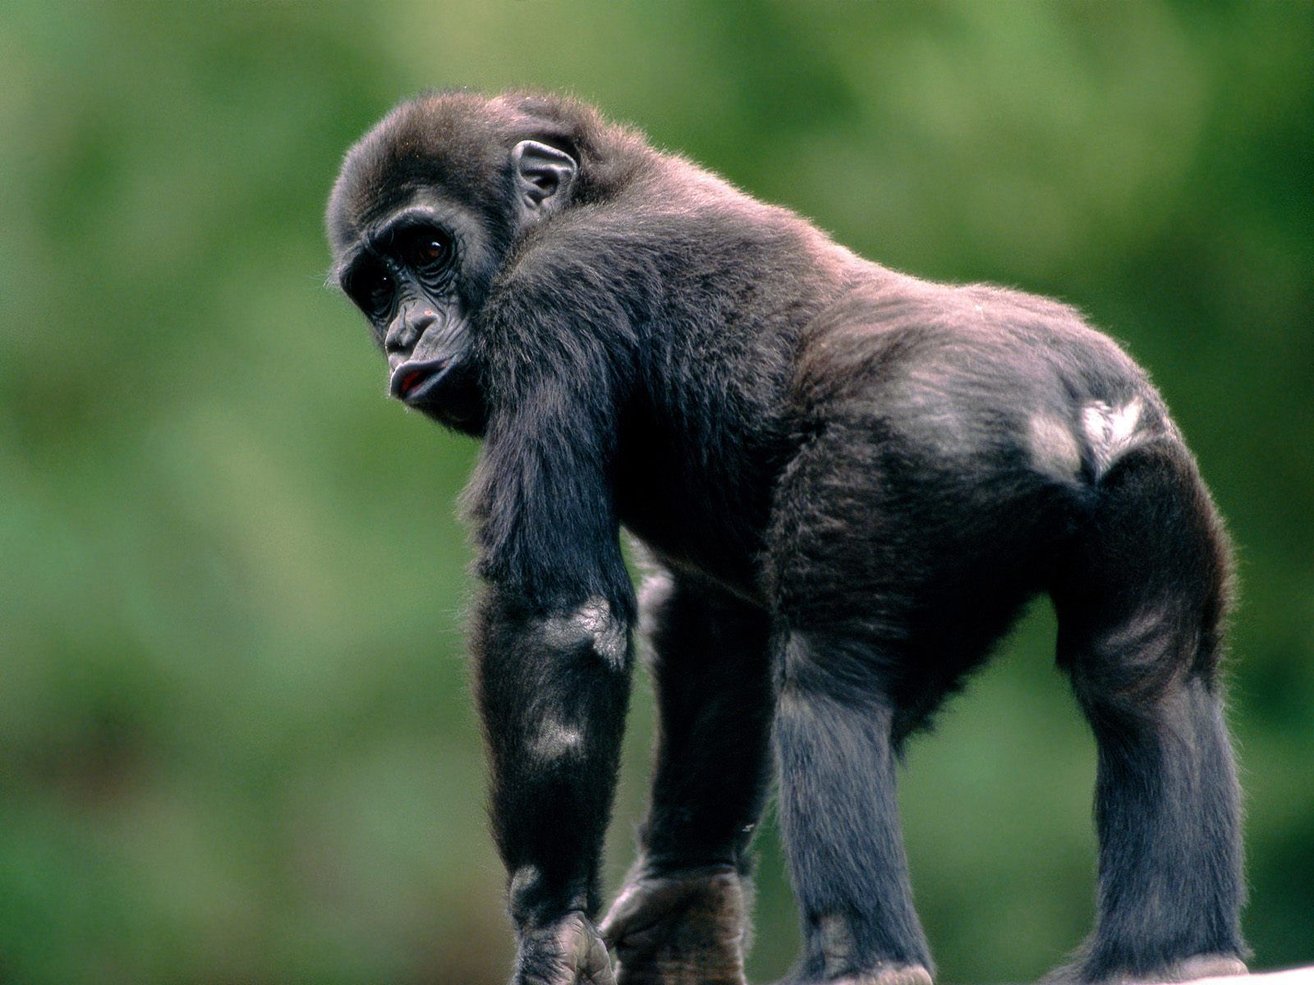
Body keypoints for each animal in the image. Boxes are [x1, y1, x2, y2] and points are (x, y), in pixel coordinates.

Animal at [323, 92, 1245, 985]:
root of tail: (1080, 409)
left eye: (428, 249)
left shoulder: (550, 295)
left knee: (829, 679)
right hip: (1151, 469)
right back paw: (1171, 953)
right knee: (1144, 675)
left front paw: (554, 925)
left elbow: (559, 614)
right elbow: (719, 621)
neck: (590, 189)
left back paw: (865, 961)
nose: (404, 335)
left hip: (911, 451)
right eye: (375, 287)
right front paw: (683, 900)